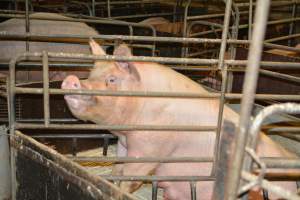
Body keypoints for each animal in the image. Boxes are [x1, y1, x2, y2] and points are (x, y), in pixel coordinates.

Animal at [61, 39, 298, 200]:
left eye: (112, 79)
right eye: (91, 74)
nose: (70, 79)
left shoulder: (151, 147)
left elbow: (131, 175)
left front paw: (119, 191)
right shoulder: (125, 143)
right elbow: (118, 169)